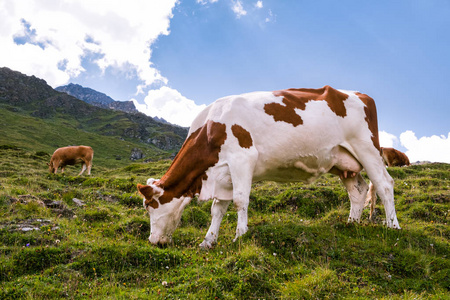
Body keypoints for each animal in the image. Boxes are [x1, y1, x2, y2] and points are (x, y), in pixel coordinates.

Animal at [137, 85, 400, 247]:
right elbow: (217, 209)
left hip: (367, 149)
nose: (153, 242)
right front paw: (208, 241)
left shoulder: (242, 159)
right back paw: (351, 224)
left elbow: (240, 201)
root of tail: (359, 94)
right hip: (343, 162)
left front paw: (240, 236)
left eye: (149, 206)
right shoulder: (223, 173)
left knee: (384, 184)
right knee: (358, 191)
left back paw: (392, 226)